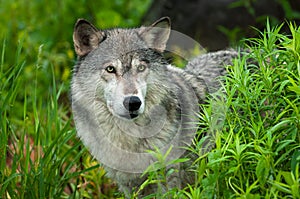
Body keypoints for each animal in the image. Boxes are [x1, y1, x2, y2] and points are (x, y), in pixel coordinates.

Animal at [71, 16, 238, 197]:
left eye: (141, 67)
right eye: (110, 69)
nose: (133, 102)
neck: (129, 140)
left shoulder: (168, 180)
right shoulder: (129, 185)